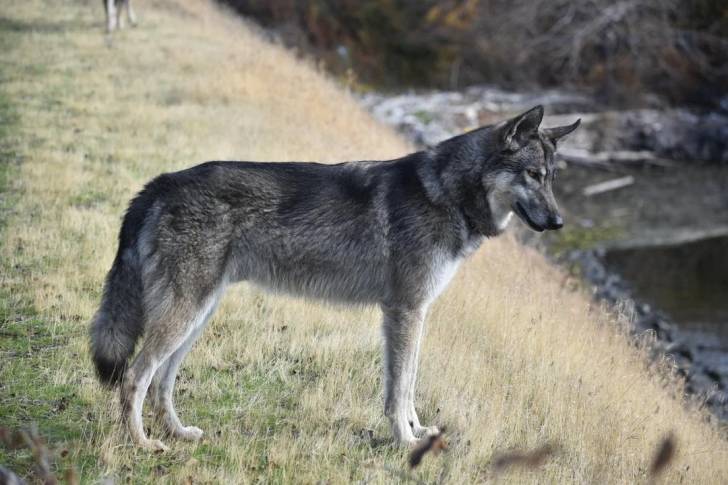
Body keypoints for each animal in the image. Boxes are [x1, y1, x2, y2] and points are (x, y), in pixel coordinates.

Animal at [90, 106, 579, 450]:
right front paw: (404, 441)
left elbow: (409, 383)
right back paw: (142, 444)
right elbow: (399, 388)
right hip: (184, 316)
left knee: (161, 383)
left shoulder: (414, 313)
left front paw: (418, 432)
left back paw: (177, 433)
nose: (558, 222)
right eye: (533, 175)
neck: (447, 194)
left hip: (197, 318)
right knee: (135, 379)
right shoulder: (404, 311)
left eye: (552, 178)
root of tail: (161, 182)